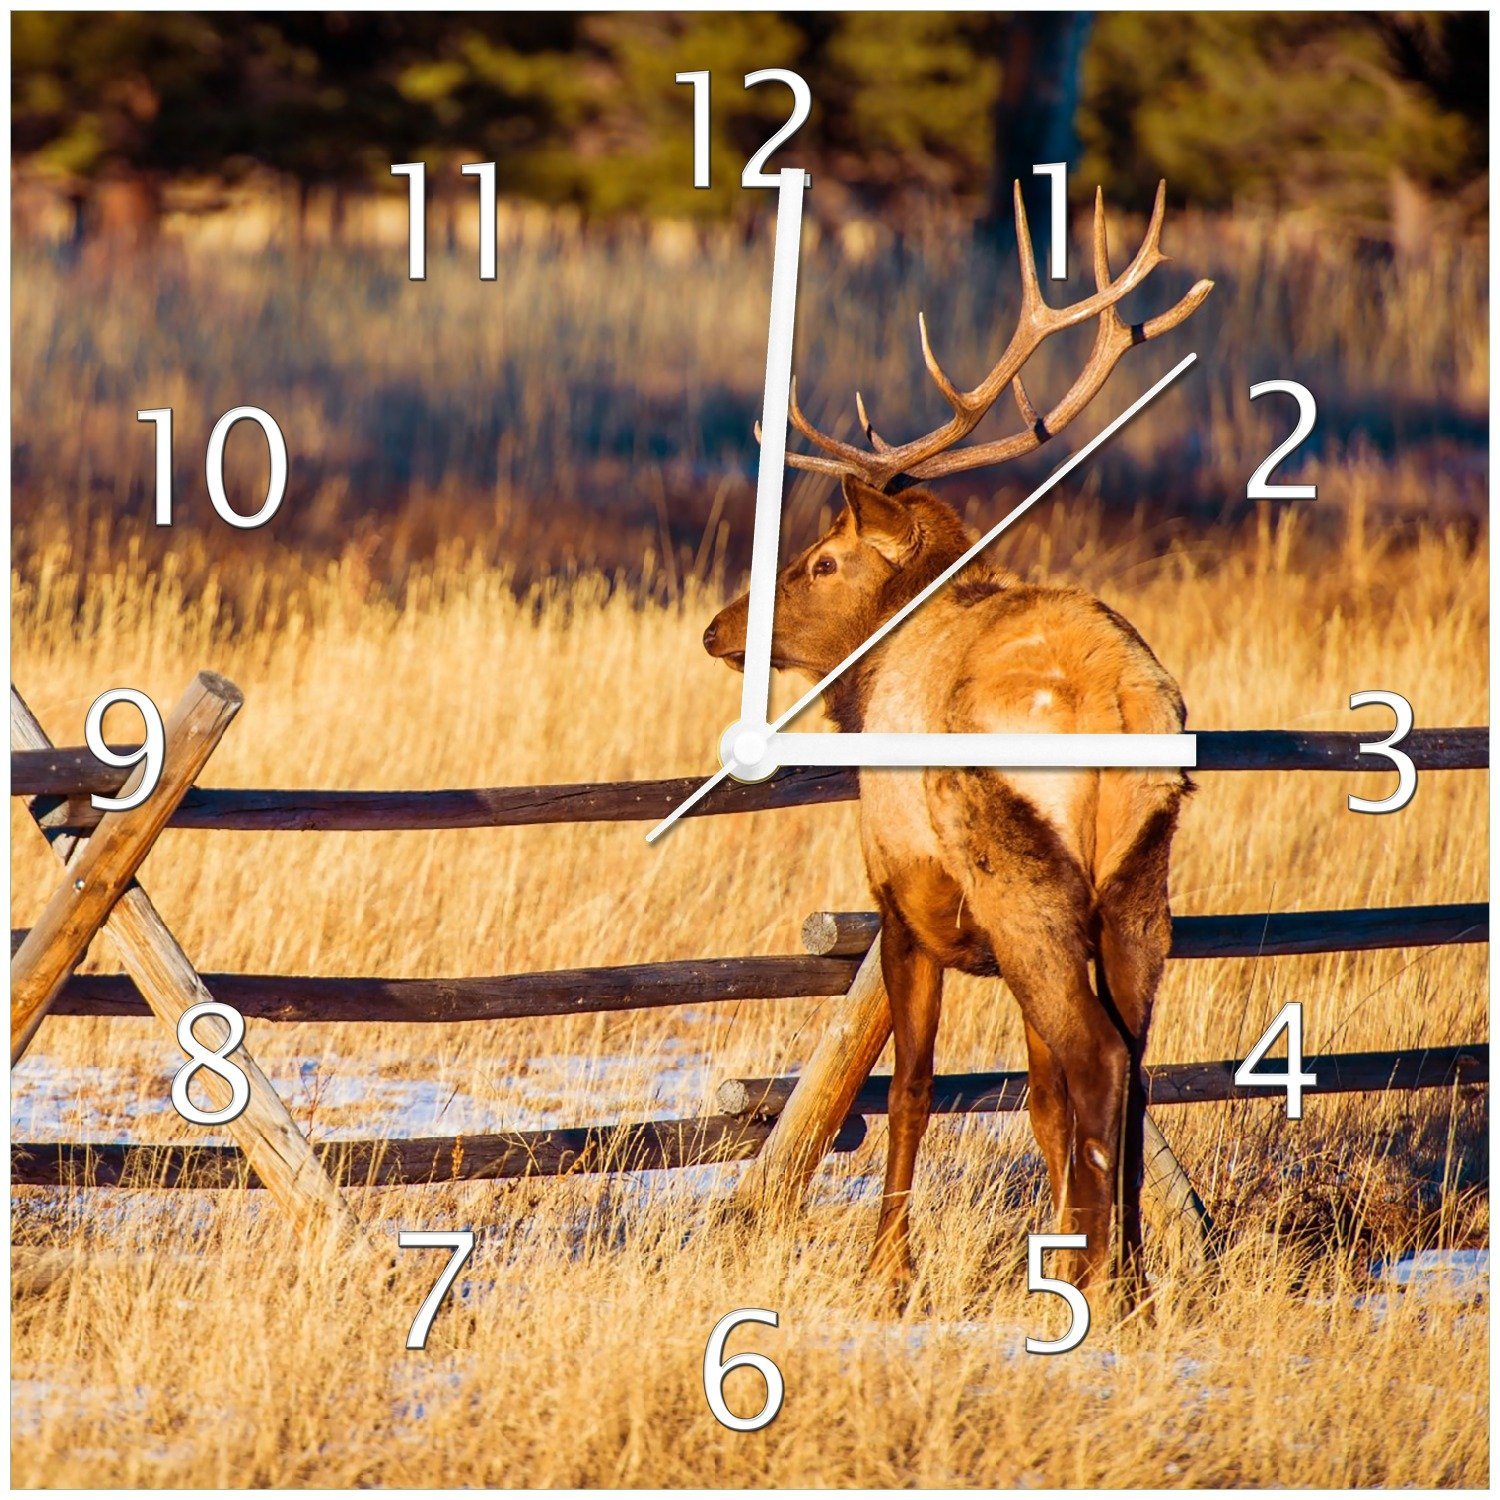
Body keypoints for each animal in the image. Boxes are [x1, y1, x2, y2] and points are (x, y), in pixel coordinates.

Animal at [708, 184, 1212, 1314]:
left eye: (820, 560)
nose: (719, 629)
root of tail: (1116, 703)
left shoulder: (902, 895)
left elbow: (914, 1087)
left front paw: (888, 1272)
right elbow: (1037, 1100)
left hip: (1018, 870)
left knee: (1097, 1056)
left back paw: (1097, 1280)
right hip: (1139, 874)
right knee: (1129, 1057)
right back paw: (1131, 1278)